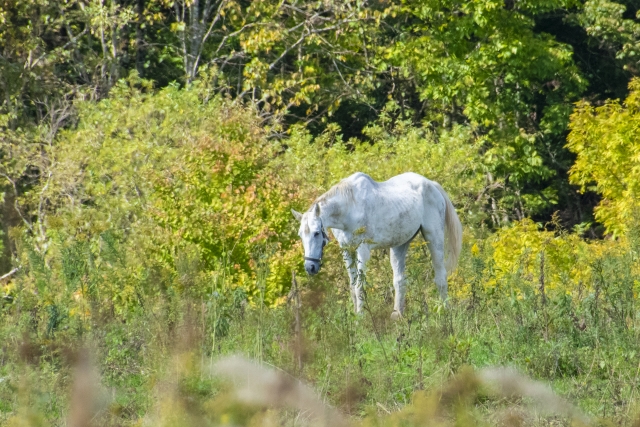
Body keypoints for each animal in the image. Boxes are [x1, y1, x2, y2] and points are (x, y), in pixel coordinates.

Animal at [292, 172, 462, 320]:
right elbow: (352, 286)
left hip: (434, 237)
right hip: (400, 245)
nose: (310, 267)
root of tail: (431, 185)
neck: (350, 207)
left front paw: (360, 318)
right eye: (300, 235)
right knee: (399, 280)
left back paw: (444, 312)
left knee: (440, 276)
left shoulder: (362, 250)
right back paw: (397, 316)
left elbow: (360, 286)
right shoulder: (347, 250)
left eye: (316, 233)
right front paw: (355, 315)